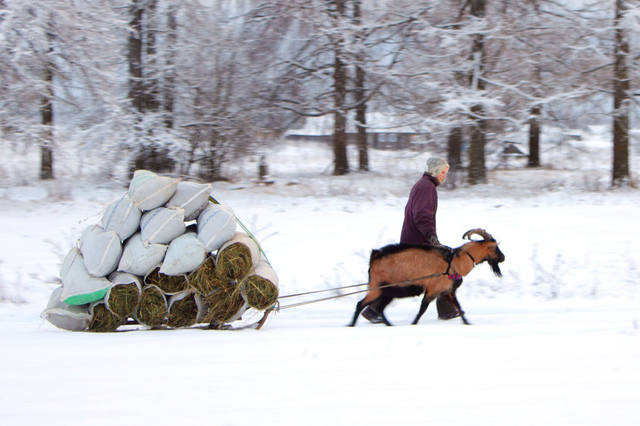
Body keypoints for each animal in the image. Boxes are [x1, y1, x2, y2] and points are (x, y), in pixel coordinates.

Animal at [350, 230, 504, 326]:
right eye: (495, 247)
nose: (503, 257)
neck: (455, 262)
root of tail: (374, 257)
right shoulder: (432, 290)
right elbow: (422, 309)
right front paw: (413, 323)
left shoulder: (448, 291)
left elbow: (459, 307)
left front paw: (467, 323)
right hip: (377, 288)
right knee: (360, 304)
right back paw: (351, 324)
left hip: (388, 292)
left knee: (380, 308)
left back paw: (389, 324)